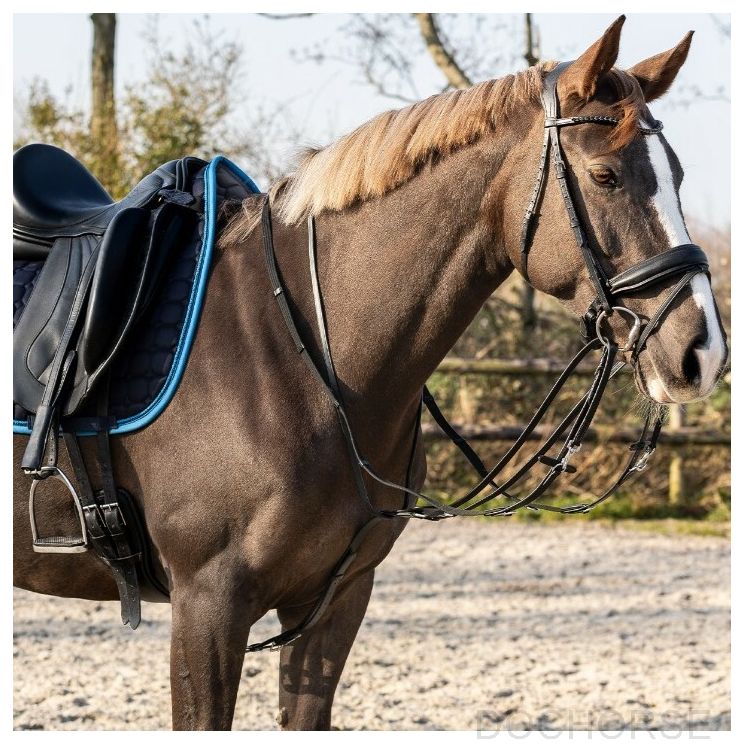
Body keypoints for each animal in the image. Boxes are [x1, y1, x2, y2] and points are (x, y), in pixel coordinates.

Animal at [13, 16, 728, 730]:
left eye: (678, 174)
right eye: (605, 176)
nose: (703, 353)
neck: (299, 354)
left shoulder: (335, 599)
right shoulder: (207, 604)